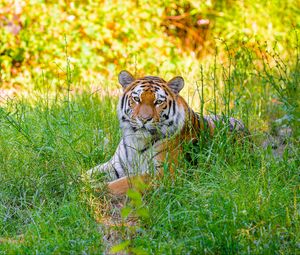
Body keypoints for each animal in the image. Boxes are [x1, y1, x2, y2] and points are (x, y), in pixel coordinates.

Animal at [87, 70, 248, 194]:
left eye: (158, 102)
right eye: (136, 99)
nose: (144, 119)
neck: (137, 140)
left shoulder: (164, 173)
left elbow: (124, 182)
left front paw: (90, 191)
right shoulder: (115, 166)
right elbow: (88, 172)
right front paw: (81, 182)